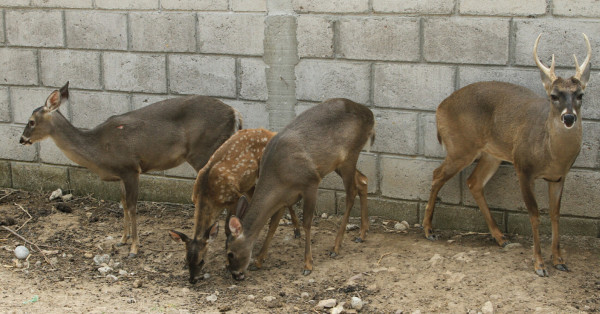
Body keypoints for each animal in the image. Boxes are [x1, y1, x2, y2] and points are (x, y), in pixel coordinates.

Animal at [19, 82, 243, 258]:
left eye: (31, 121)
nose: (22, 139)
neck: (98, 148)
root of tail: (234, 113)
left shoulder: (131, 168)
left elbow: (134, 206)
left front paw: (134, 249)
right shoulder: (120, 174)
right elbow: (124, 204)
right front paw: (122, 239)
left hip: (205, 150)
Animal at [168, 128, 300, 284]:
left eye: (201, 260)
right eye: (186, 260)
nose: (192, 279)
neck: (207, 194)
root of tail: (271, 132)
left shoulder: (234, 197)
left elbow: (227, 228)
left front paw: (227, 261)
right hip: (249, 181)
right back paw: (296, 230)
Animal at [225, 98, 376, 280]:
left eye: (230, 253)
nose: (235, 274)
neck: (278, 177)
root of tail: (370, 115)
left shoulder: (310, 182)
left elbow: (307, 223)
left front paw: (308, 264)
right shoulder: (284, 198)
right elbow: (273, 225)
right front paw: (259, 260)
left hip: (350, 154)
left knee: (351, 193)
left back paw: (336, 247)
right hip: (337, 163)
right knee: (363, 180)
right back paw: (362, 233)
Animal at [422, 33, 592, 276]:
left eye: (580, 95)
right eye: (553, 95)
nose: (569, 118)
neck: (551, 155)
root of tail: (439, 108)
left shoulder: (559, 177)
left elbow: (555, 214)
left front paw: (559, 260)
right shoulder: (523, 168)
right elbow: (534, 214)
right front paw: (539, 264)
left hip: (492, 154)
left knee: (474, 182)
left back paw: (501, 237)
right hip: (460, 146)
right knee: (438, 174)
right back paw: (428, 230)